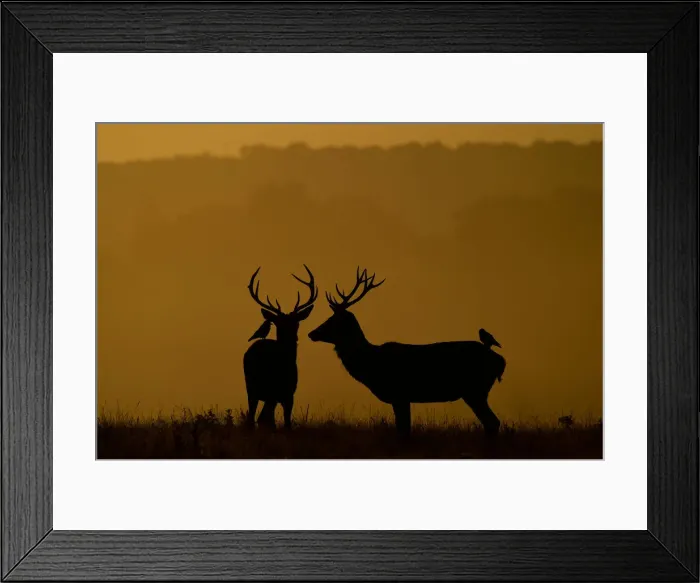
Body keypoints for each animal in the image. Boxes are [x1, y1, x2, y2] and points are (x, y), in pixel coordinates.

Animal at [243, 265, 318, 430]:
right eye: (279, 323)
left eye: (297, 322)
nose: (292, 337)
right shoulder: (284, 392)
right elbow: (283, 422)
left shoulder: (287, 392)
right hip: (257, 387)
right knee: (257, 417)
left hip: (255, 388)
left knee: (255, 416)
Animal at [308, 268, 506, 437]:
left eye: (332, 320)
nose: (311, 333)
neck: (371, 363)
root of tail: (501, 361)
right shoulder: (404, 398)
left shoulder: (399, 394)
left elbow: (403, 431)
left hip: (475, 389)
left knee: (493, 422)